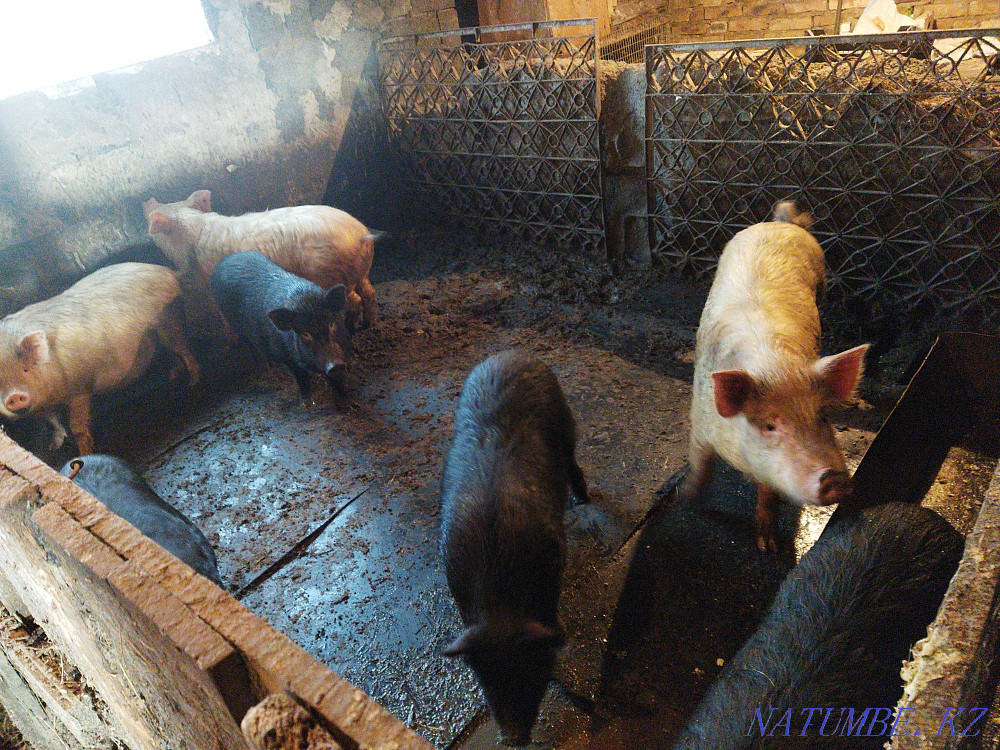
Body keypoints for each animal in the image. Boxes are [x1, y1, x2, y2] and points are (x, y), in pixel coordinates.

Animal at [0, 263, 200, 455]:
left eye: (25, 369)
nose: (14, 396)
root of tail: (168, 271)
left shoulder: (80, 388)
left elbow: (77, 427)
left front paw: (86, 453)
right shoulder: (44, 406)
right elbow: (52, 422)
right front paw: (54, 446)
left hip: (168, 319)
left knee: (184, 349)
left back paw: (192, 383)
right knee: (171, 353)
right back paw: (172, 378)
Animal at [143, 190, 379, 332]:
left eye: (158, 212)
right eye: (171, 202)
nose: (148, 201)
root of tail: (361, 234)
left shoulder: (210, 282)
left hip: (330, 274)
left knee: (354, 299)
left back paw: (351, 328)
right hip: (361, 270)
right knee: (369, 292)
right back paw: (369, 324)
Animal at [209, 251, 352, 403]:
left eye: (331, 324)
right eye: (305, 334)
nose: (335, 365)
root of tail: (223, 261)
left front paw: (344, 398)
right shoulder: (283, 354)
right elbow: (300, 376)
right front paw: (307, 402)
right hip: (233, 323)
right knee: (249, 343)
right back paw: (265, 366)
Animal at [440, 350, 589, 746]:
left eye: (532, 673)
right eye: (485, 680)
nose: (512, 737)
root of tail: (511, 354)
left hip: (566, 421)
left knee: (574, 463)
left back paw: (585, 500)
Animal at [679, 200, 869, 552]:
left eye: (823, 417)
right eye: (769, 425)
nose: (835, 478)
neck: (775, 366)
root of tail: (782, 223)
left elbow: (768, 493)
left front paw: (768, 546)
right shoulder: (699, 418)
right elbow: (700, 463)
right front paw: (687, 500)